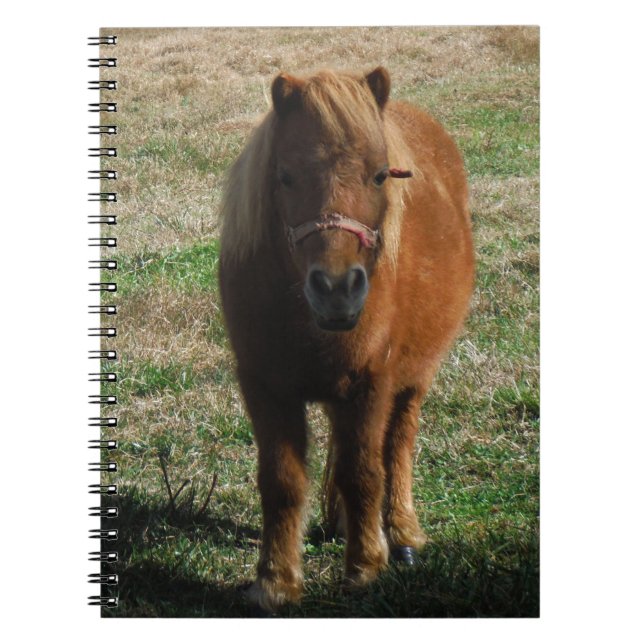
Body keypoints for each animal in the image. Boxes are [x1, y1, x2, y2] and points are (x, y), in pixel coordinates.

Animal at [219, 67, 474, 612]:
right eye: (286, 176)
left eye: (380, 175)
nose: (336, 288)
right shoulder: (264, 388)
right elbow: (282, 481)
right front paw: (275, 582)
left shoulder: (371, 383)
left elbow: (364, 472)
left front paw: (364, 568)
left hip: (413, 380)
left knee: (397, 444)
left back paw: (400, 532)